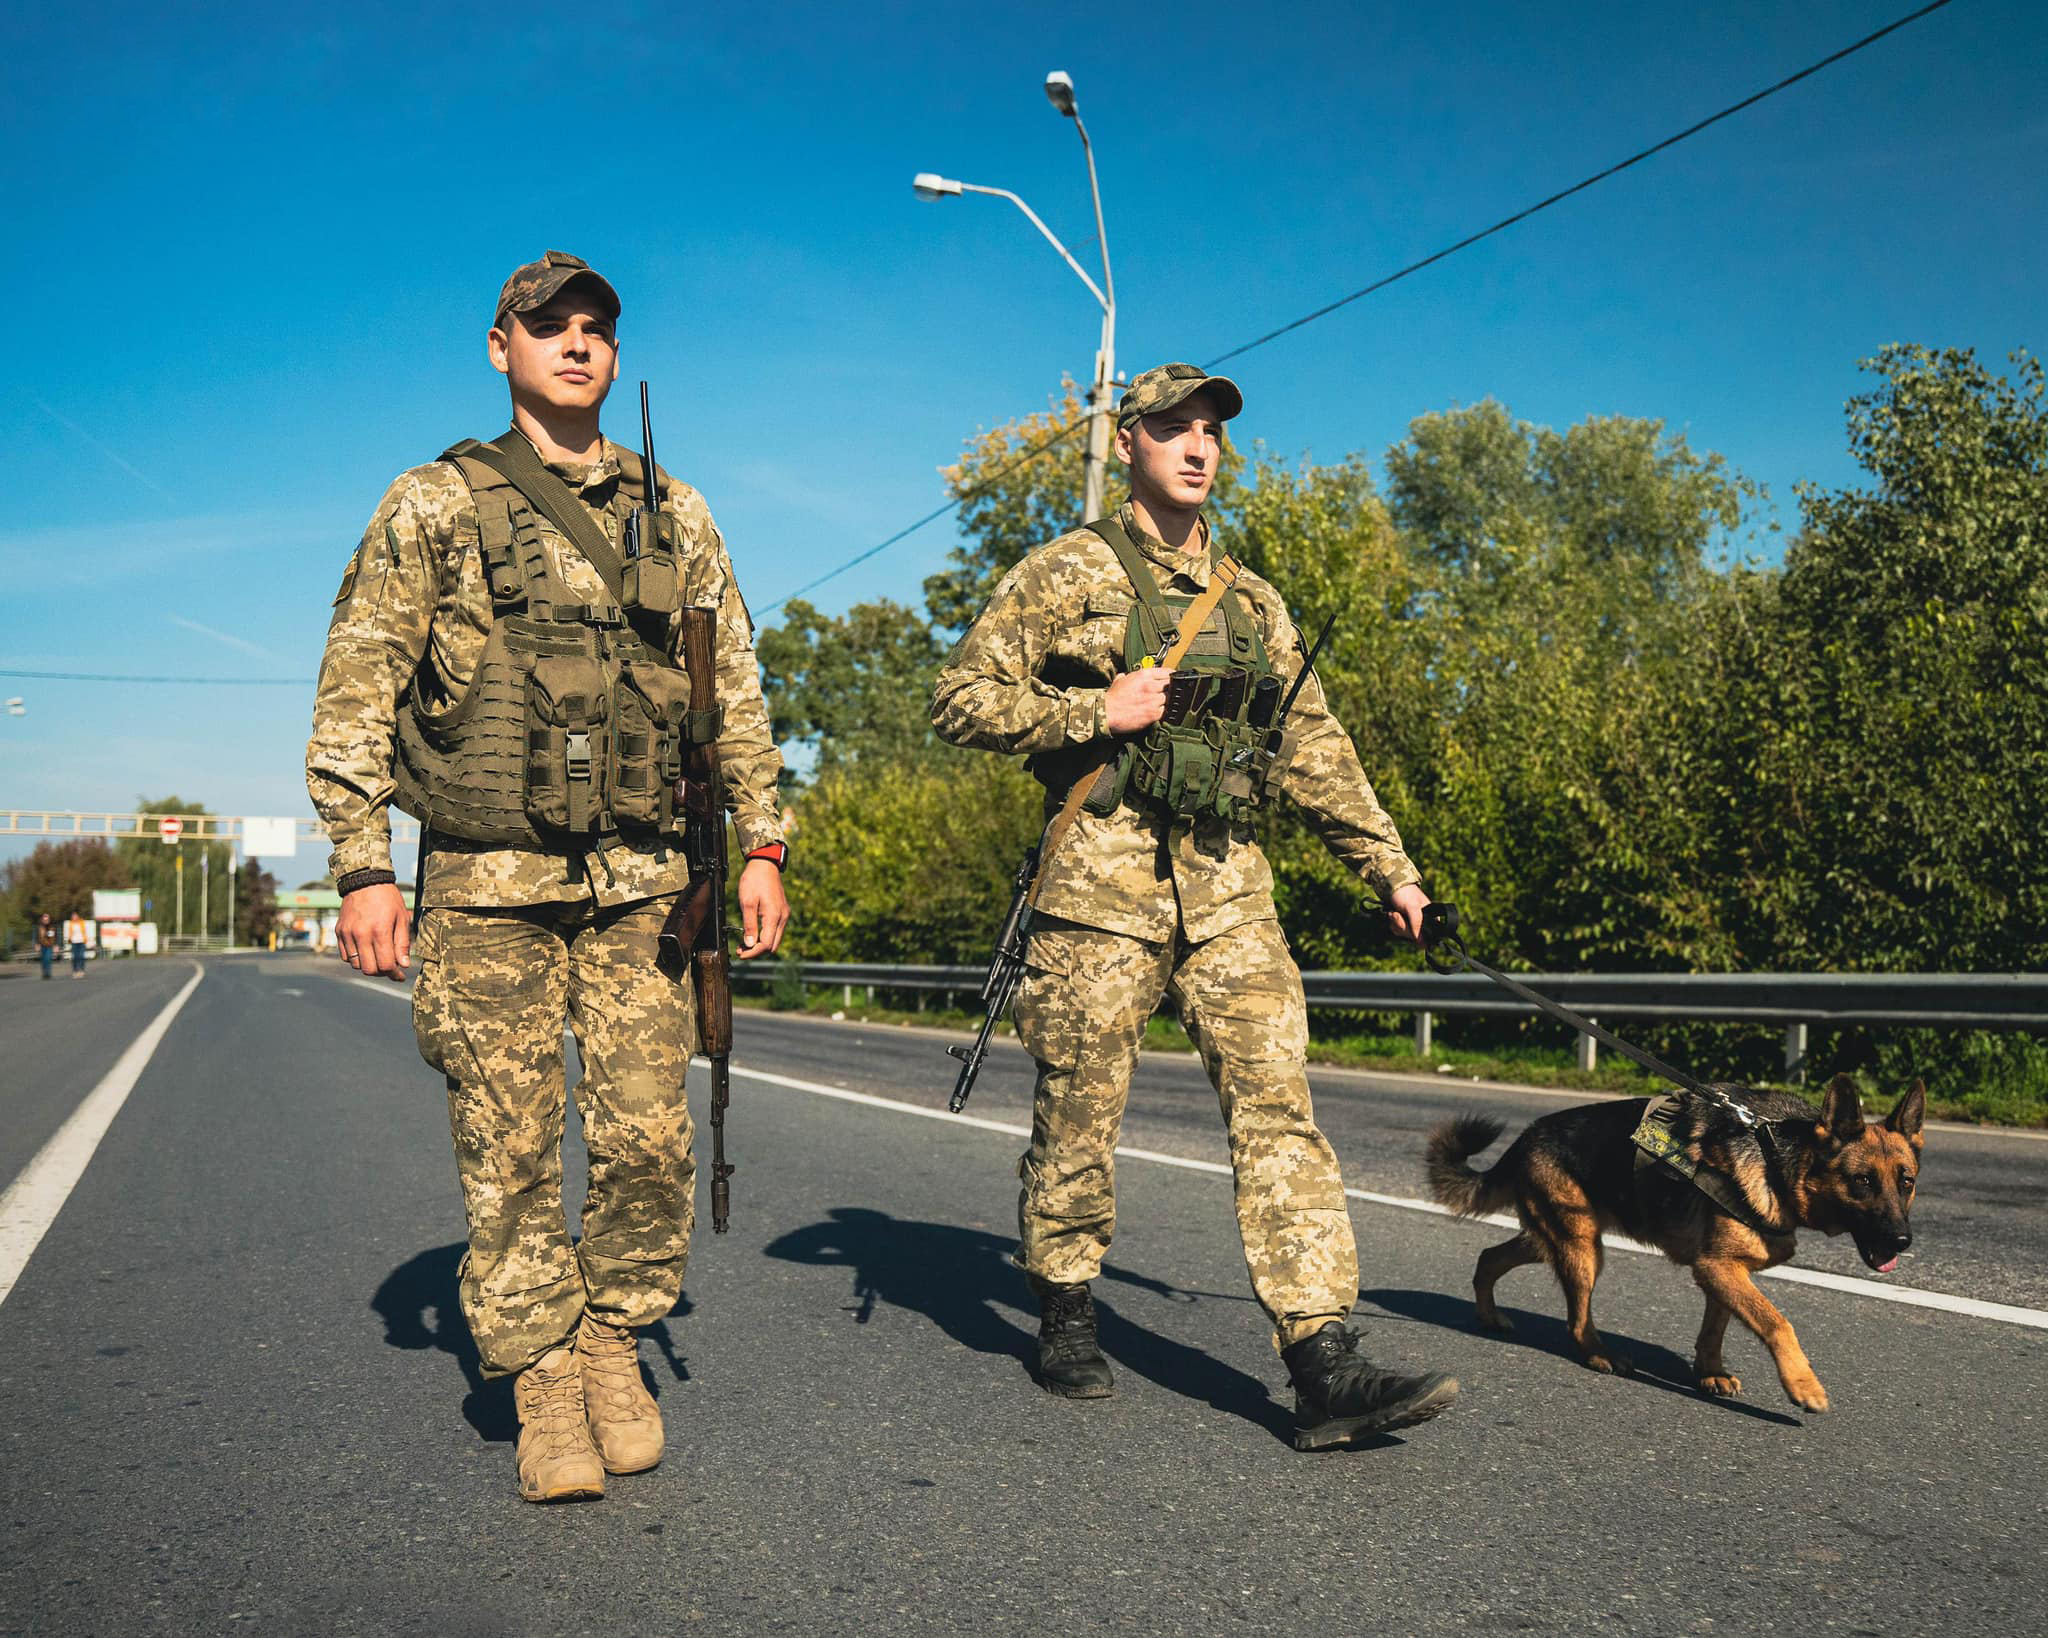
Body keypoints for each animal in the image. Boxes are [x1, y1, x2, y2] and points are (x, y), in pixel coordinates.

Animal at [1425, 1072, 1916, 1408]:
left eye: (1906, 1182)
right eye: (1863, 1181)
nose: (1903, 1240)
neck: (1778, 1158)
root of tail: (1525, 1137)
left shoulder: (1725, 1271)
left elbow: (1715, 1329)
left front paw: (1710, 1373)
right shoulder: (1717, 1268)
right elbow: (1778, 1323)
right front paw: (1803, 1385)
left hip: (1561, 1237)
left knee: (1489, 1258)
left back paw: (1489, 1315)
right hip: (1582, 1249)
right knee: (1577, 1321)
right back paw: (1600, 1356)